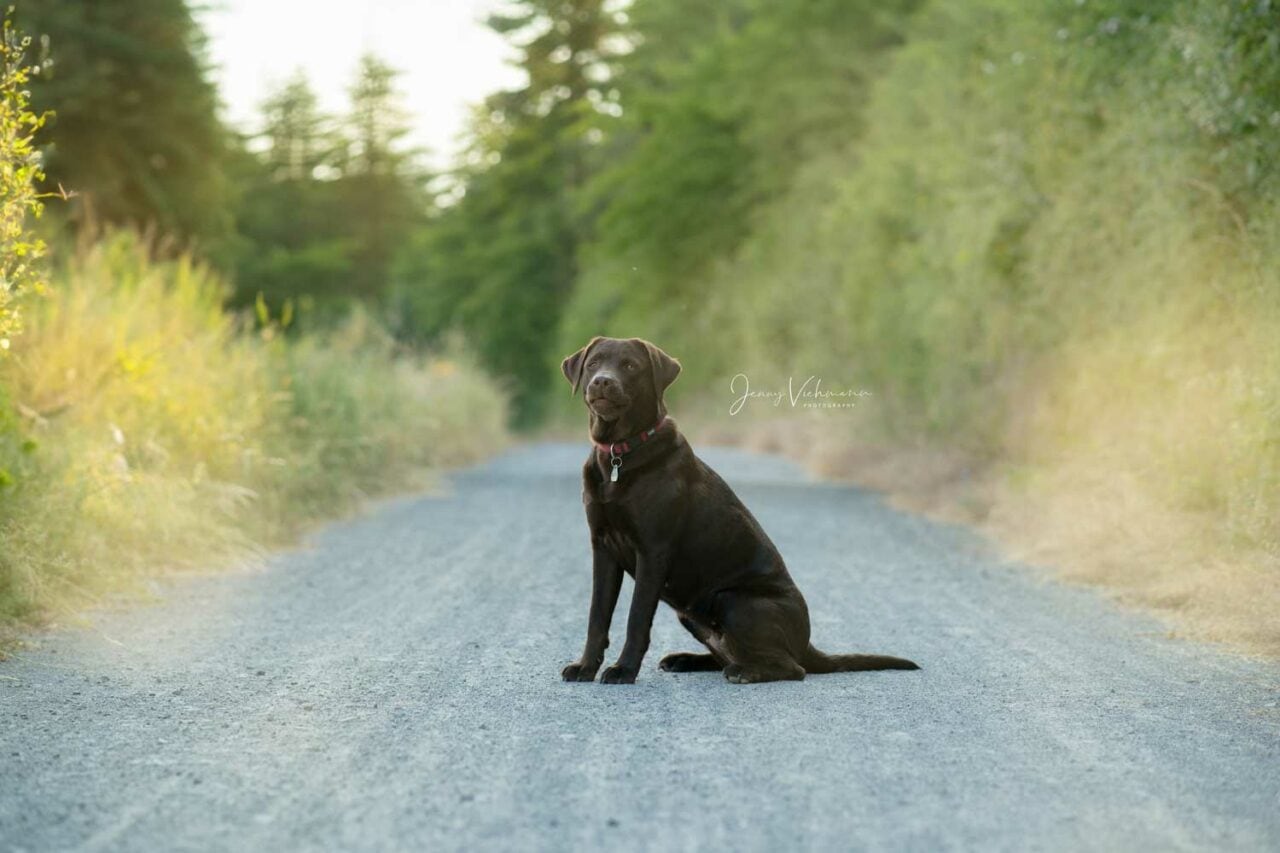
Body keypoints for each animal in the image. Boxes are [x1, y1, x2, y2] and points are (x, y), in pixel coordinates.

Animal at [560, 335, 921, 681]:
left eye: (630, 366)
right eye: (593, 364)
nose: (602, 381)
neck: (620, 454)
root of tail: (806, 643)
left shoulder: (652, 551)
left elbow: (636, 619)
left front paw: (623, 671)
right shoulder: (603, 548)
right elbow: (597, 617)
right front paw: (585, 667)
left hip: (732, 601)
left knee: (791, 668)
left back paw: (743, 673)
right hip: (693, 613)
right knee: (731, 653)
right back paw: (686, 660)